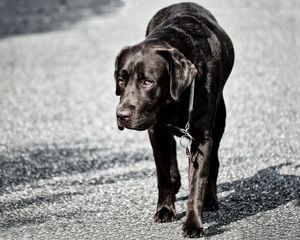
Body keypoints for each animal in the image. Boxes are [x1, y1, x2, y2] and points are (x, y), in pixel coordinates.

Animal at [113, 2, 233, 238]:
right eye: (121, 80)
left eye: (148, 82)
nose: (121, 115)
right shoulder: (156, 131)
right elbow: (164, 173)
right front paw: (165, 209)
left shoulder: (201, 139)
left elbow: (197, 182)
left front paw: (194, 224)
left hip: (220, 120)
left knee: (214, 162)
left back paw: (210, 199)